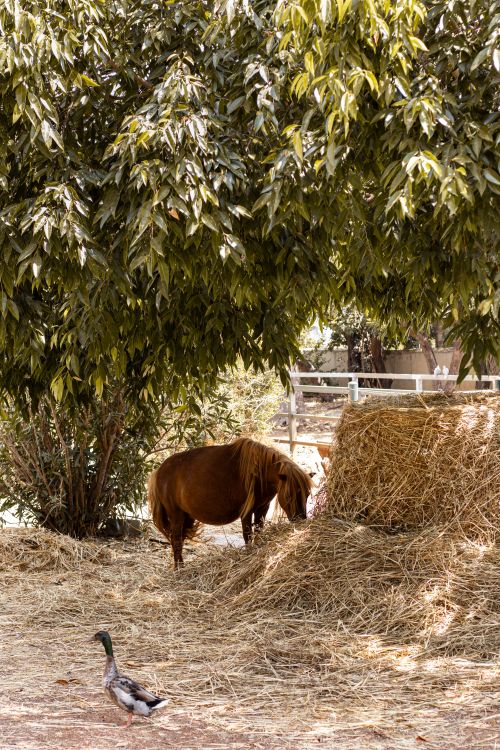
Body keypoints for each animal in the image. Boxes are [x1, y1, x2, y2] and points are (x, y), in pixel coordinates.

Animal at [147, 437, 312, 568]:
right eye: (290, 495)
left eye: (308, 494)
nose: (301, 520)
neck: (260, 472)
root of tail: (158, 471)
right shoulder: (247, 512)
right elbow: (247, 535)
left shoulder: (262, 508)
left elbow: (259, 531)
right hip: (176, 514)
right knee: (176, 540)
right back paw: (179, 569)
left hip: (186, 516)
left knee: (179, 540)